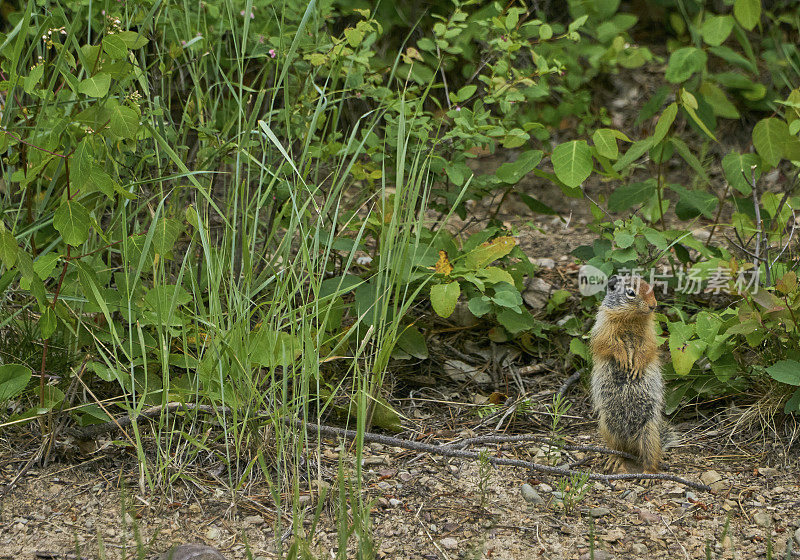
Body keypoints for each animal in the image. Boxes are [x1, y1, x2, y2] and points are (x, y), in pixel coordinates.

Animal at [588, 276, 668, 472]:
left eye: (652, 288)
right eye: (631, 292)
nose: (654, 305)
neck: (631, 319)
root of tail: (631, 444)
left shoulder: (649, 333)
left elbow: (647, 348)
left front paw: (636, 365)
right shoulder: (604, 325)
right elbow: (608, 343)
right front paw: (623, 360)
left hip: (649, 434)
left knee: (650, 457)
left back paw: (648, 473)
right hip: (608, 428)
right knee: (618, 450)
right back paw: (615, 461)